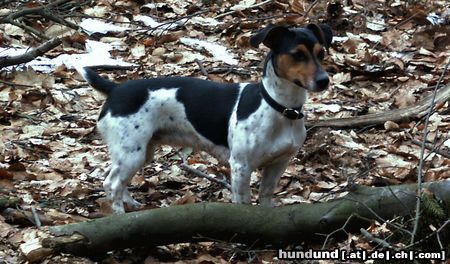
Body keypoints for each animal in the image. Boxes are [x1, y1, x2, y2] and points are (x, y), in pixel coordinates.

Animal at [75, 23, 332, 213]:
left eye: (321, 53)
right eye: (297, 55)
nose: (324, 80)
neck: (279, 108)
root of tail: (116, 89)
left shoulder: (279, 164)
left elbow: (265, 197)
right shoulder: (241, 166)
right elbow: (243, 203)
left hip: (140, 152)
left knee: (117, 180)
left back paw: (130, 204)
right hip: (132, 153)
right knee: (111, 184)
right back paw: (120, 217)